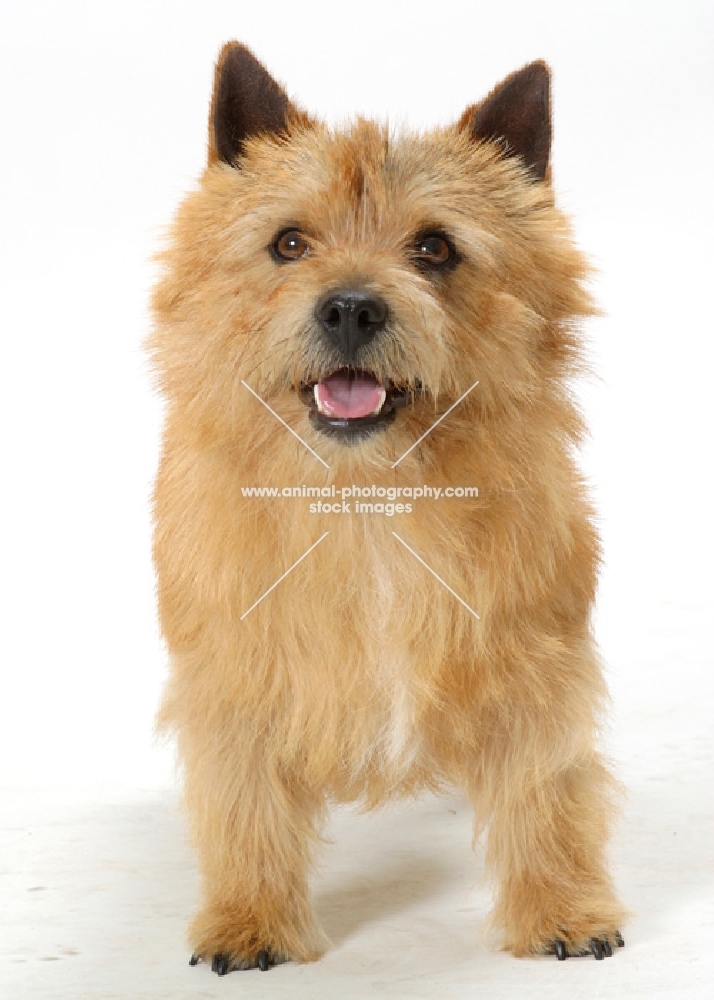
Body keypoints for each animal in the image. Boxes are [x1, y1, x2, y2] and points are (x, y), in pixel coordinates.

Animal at [149, 43, 624, 972]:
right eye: (289, 242)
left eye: (434, 247)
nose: (351, 306)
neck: (366, 495)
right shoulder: (234, 679)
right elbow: (244, 803)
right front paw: (250, 920)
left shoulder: (538, 665)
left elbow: (546, 791)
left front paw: (561, 909)